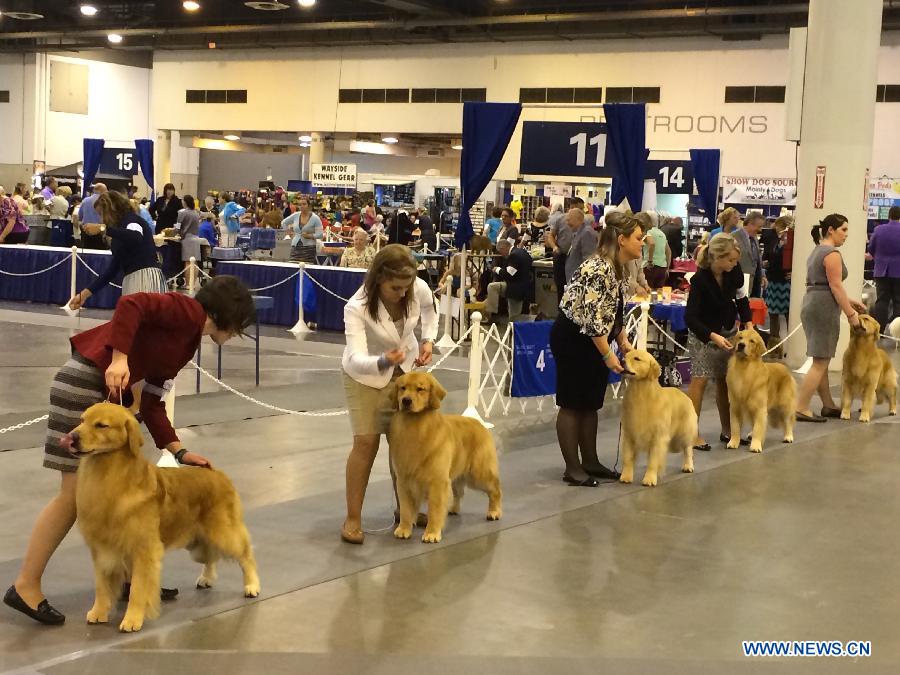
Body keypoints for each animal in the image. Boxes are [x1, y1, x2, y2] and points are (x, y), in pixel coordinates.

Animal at [69, 404, 260, 636]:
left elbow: (138, 589)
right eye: (82, 420)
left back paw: (252, 586)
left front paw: (132, 619)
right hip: (198, 541)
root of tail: (216, 473)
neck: (111, 475)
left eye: (101, 425)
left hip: (223, 532)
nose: (71, 438)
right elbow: (102, 585)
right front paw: (98, 612)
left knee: (246, 555)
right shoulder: (101, 548)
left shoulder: (143, 549)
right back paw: (206, 578)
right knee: (211, 556)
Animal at [384, 372, 500, 548]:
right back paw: (453, 509)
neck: (415, 427)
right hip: (455, 477)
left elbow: (435, 509)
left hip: (478, 474)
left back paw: (494, 511)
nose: (406, 401)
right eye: (402, 388)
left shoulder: (437, 482)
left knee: (495, 488)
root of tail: (478, 423)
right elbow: (405, 509)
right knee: (459, 493)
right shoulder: (403, 480)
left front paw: (431, 533)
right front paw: (404, 529)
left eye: (420, 389)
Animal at [624, 348, 700, 486]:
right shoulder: (629, 432)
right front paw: (625, 477)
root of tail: (684, 395)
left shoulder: (658, 436)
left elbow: (654, 460)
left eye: (637, 358)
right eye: (625, 356)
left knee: (688, 449)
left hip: (685, 432)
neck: (640, 392)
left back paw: (688, 466)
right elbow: (628, 458)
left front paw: (649, 478)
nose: (621, 361)